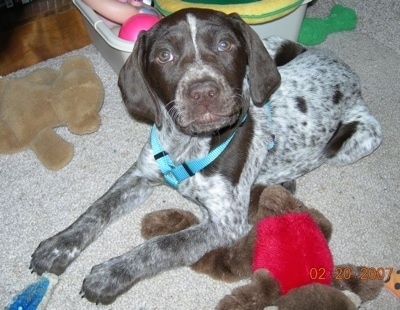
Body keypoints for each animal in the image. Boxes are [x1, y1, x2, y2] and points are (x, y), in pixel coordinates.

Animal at [28, 7, 382, 306]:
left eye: (225, 45)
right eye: (164, 55)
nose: (203, 92)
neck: (187, 145)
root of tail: (344, 67)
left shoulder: (226, 223)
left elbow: (162, 245)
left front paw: (112, 274)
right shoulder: (140, 175)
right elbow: (97, 209)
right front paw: (60, 245)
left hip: (360, 138)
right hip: (272, 46)